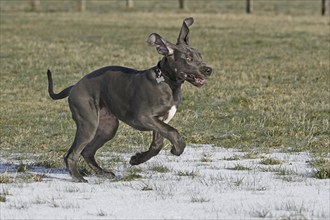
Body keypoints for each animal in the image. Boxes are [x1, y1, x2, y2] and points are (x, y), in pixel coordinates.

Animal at [47, 17, 211, 182]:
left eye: (200, 56)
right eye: (188, 58)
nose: (209, 70)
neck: (166, 80)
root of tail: (74, 86)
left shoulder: (160, 121)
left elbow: (157, 144)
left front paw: (136, 159)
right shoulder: (143, 118)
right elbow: (173, 131)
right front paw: (177, 148)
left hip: (108, 127)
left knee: (87, 151)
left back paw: (103, 173)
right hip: (88, 123)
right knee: (72, 154)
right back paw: (78, 177)